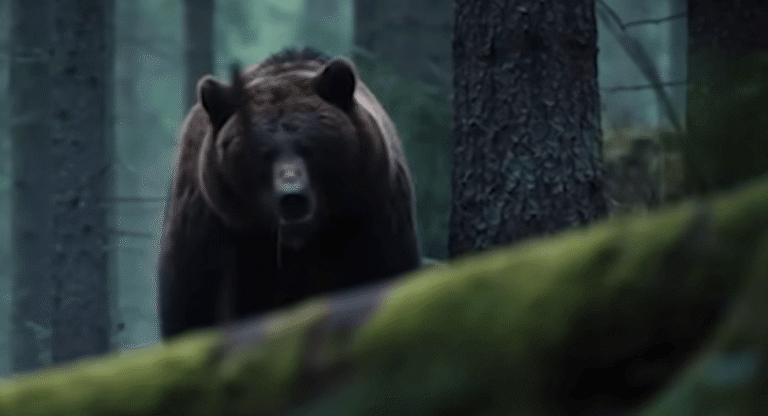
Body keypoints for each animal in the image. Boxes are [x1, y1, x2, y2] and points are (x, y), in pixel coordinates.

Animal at [157, 47, 422, 339]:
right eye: (263, 154)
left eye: (310, 147)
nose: (292, 197)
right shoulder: (217, 230)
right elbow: (196, 308)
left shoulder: (370, 213)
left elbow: (384, 273)